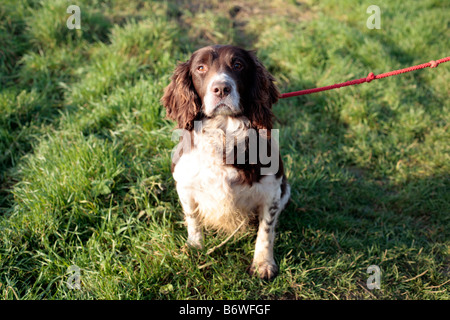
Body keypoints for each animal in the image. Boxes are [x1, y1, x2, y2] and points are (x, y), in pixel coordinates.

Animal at [162, 45, 292, 280]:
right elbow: (192, 219)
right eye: (200, 68)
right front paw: (195, 247)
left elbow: (266, 231)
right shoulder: (184, 184)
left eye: (238, 65)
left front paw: (263, 263)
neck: (223, 132)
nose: (221, 88)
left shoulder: (272, 190)